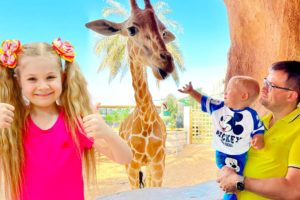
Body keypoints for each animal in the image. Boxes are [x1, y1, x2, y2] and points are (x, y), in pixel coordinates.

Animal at [85, 0, 176, 188]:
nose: (167, 63)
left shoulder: (159, 164)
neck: (146, 120)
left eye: (164, 32)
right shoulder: (131, 166)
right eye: (131, 29)